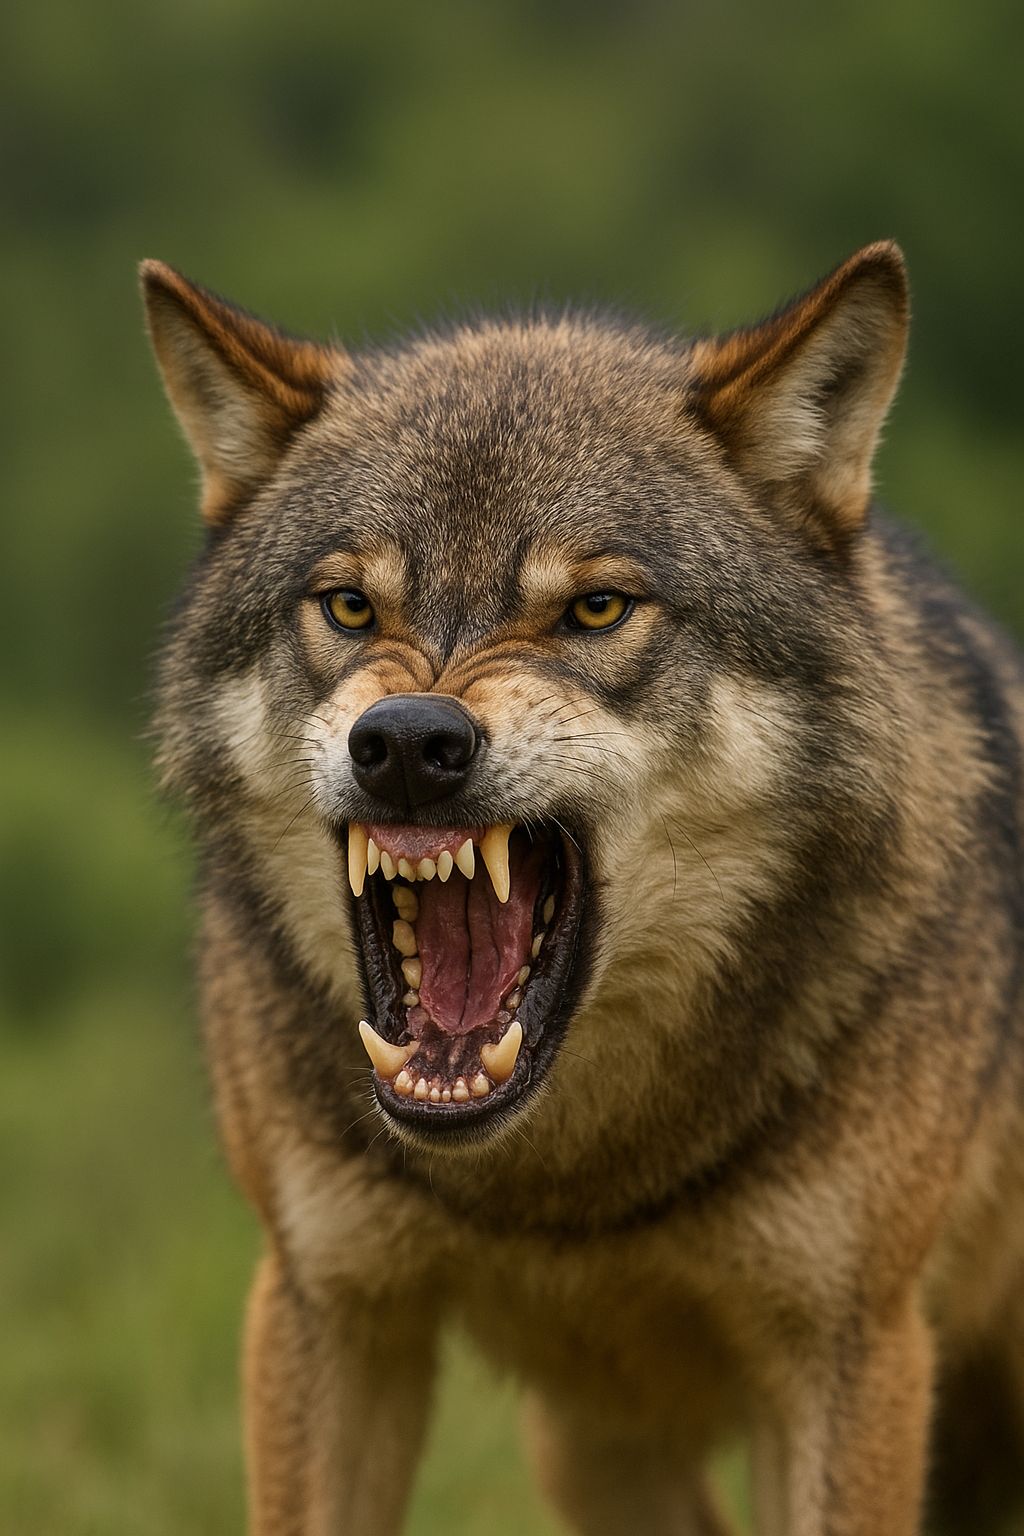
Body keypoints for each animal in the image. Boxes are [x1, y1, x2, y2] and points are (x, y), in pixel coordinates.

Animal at [142, 243, 1024, 1535]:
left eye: (594, 608)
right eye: (350, 605)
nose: (406, 743)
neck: (569, 1181)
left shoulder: (848, 1351)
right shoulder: (329, 1307)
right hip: (591, 1454)